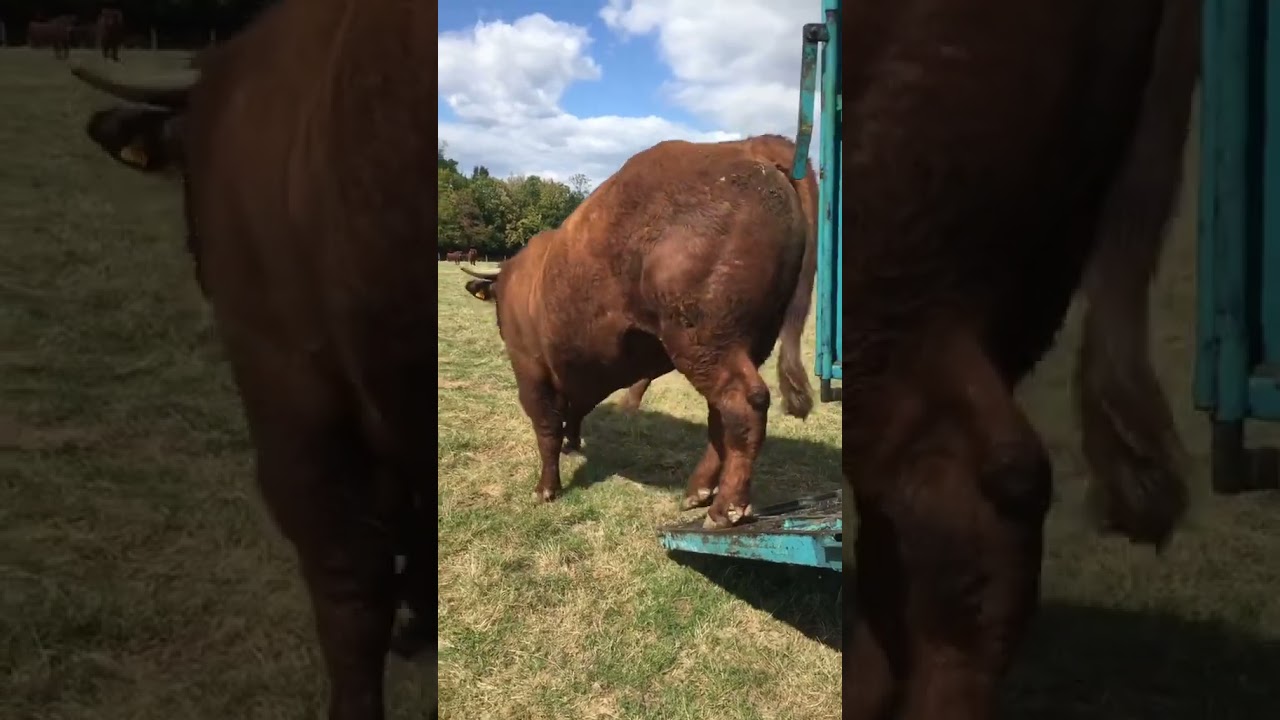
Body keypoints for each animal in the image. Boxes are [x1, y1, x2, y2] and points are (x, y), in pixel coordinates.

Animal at [459, 133, 818, 527]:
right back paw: (697, 492)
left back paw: (725, 509)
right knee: (720, 416)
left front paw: (545, 489)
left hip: (703, 345)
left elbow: (546, 427)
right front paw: (572, 446)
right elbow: (571, 416)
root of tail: (747, 146)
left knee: (743, 406)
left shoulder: (530, 369)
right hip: (736, 348)